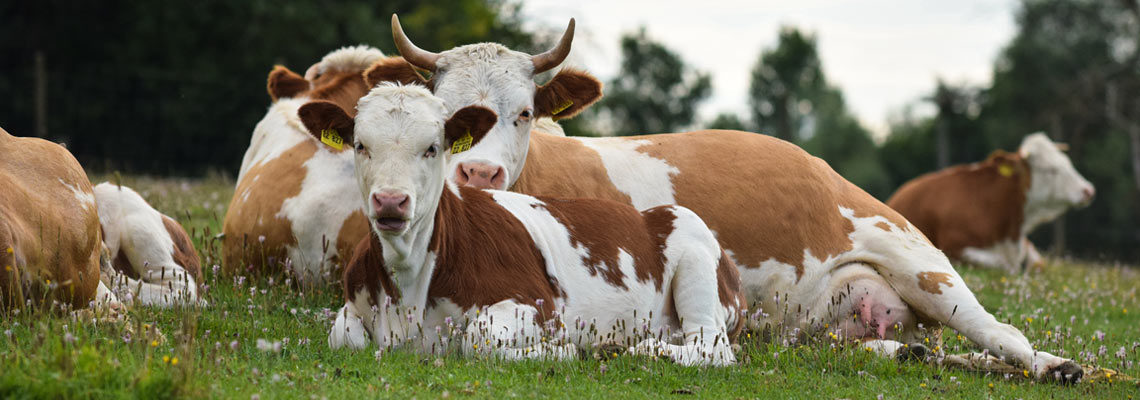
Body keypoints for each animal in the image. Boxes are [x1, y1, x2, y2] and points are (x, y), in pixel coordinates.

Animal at [303, 84, 747, 366]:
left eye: (432, 148)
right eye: (360, 145)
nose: (391, 201)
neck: (407, 286)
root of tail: (646, 213)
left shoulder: (537, 306)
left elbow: (476, 339)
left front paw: (566, 350)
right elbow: (343, 336)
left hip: (694, 254)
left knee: (711, 349)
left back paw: (629, 347)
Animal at [889, 133, 1094, 274]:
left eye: (1067, 162)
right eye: (1050, 170)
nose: (1088, 190)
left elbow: (1036, 264)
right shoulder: (954, 248)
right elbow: (1004, 266)